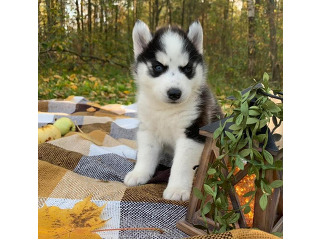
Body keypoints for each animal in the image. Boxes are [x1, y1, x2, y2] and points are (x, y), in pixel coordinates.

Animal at [124, 20, 224, 201]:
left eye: (187, 68)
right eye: (158, 67)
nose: (174, 93)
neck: (166, 111)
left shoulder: (192, 133)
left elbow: (181, 165)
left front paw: (177, 189)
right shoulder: (148, 130)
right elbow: (146, 154)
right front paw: (139, 173)